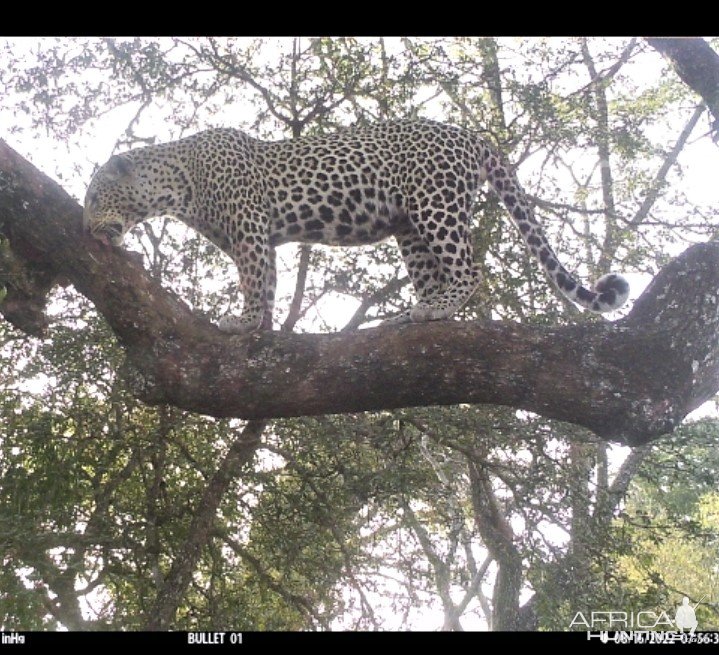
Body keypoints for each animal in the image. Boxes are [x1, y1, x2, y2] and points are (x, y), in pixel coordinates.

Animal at [83, 116, 632, 334]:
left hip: (436, 204)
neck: (174, 186)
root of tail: (470, 136)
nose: (86, 226)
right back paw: (416, 312)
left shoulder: (250, 229)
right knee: (435, 273)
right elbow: (264, 279)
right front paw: (257, 323)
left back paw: (438, 309)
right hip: (410, 227)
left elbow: (256, 279)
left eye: (91, 197)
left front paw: (244, 322)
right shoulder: (251, 236)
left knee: (470, 269)